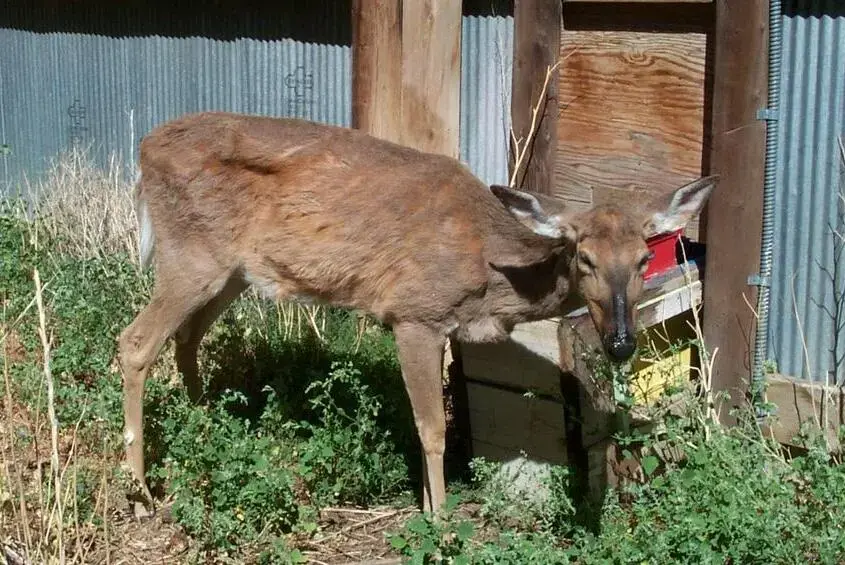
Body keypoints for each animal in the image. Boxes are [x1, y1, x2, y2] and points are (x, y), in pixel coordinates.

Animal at [117, 111, 716, 518]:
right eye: (584, 257)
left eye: (644, 259)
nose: (621, 342)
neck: (489, 271)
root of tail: (143, 150)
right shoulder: (413, 314)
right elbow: (432, 429)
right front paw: (442, 520)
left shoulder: (440, 326)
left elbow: (421, 420)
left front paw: (429, 507)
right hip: (190, 255)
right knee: (135, 341)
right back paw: (143, 494)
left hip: (232, 271)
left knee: (186, 339)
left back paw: (207, 427)